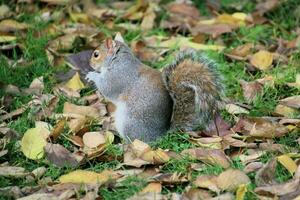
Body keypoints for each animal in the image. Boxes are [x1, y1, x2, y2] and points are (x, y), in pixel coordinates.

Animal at [67, 36, 223, 142]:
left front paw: (92, 75)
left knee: (133, 142)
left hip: (129, 123)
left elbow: (107, 88)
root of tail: (160, 135)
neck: (118, 61)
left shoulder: (118, 77)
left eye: (96, 54)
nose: (90, 64)